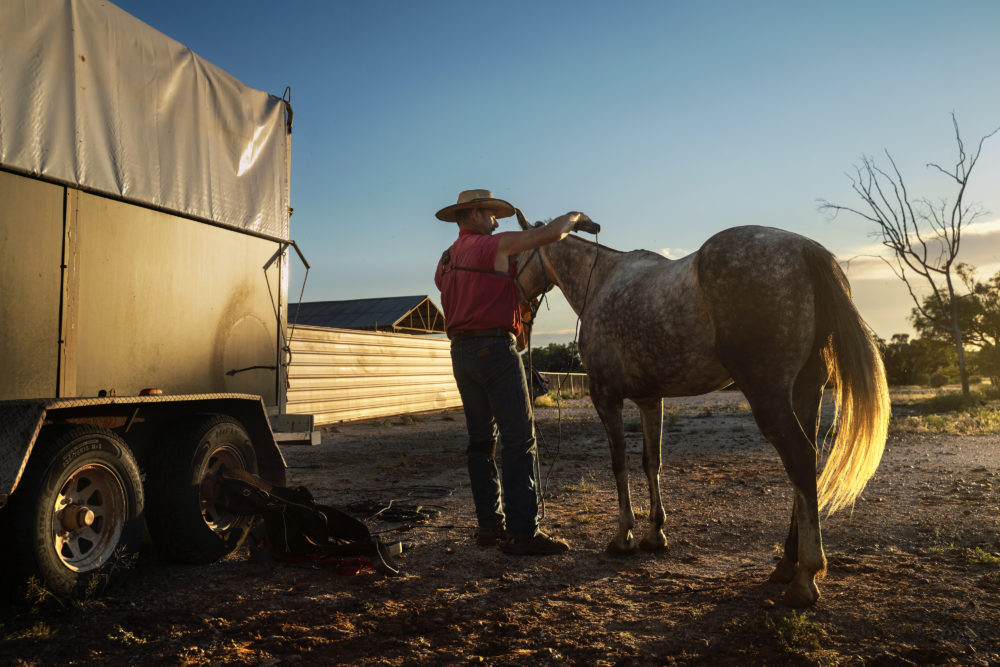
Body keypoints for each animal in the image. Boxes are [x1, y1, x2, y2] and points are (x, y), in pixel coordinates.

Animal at [516, 211, 892, 608]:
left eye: (517, 254)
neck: (601, 281)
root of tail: (806, 250)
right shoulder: (650, 400)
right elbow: (652, 462)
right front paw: (655, 534)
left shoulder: (606, 397)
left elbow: (619, 464)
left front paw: (624, 536)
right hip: (806, 392)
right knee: (805, 467)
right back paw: (787, 565)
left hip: (769, 394)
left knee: (800, 457)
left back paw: (805, 577)